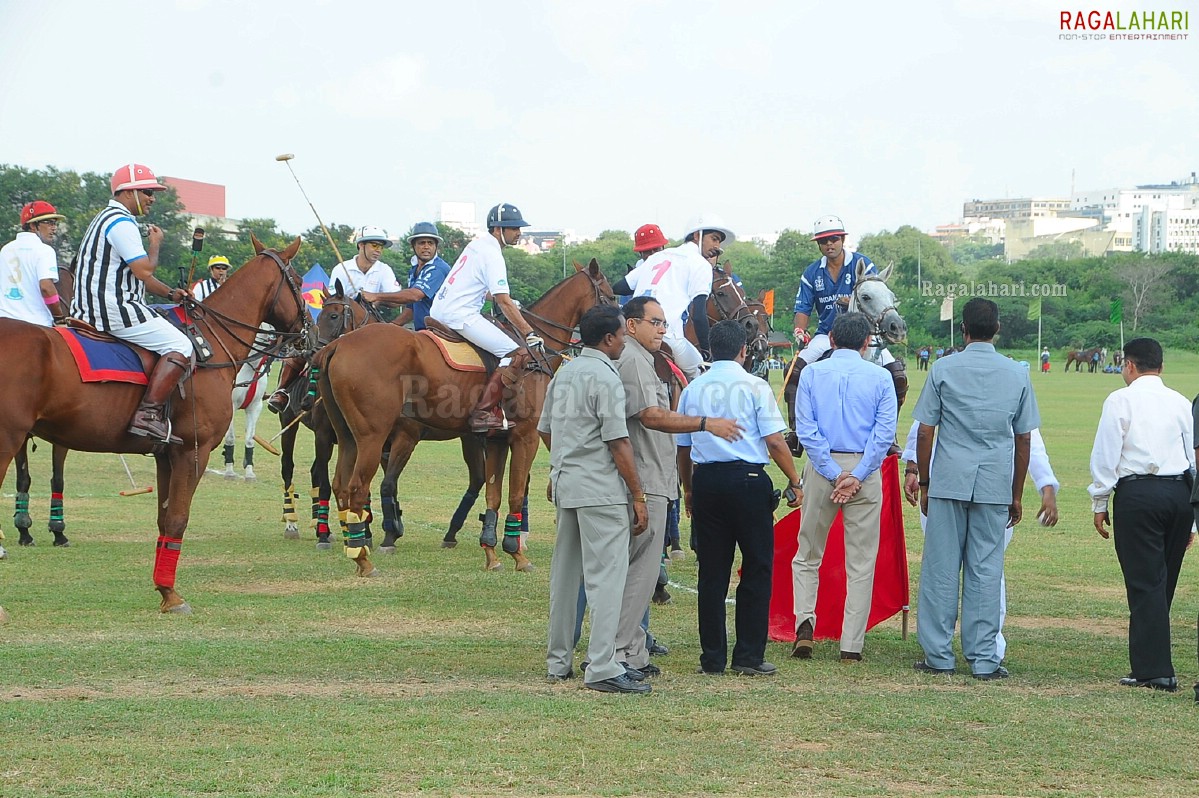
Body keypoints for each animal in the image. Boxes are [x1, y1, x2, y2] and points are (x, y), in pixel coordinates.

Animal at [0, 233, 314, 611]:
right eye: (298, 281)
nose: (308, 335)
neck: (212, 344)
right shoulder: (193, 451)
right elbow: (178, 519)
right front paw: (172, 594)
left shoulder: (166, 454)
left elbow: (164, 518)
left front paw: (163, 590)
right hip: (7, 437)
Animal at [318, 257, 613, 575]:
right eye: (610, 296)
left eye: (333, 316)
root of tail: (338, 345)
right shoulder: (525, 436)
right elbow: (514, 492)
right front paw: (517, 555)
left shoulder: (496, 438)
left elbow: (494, 494)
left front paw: (494, 554)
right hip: (372, 435)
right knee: (357, 487)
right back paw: (363, 558)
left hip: (349, 436)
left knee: (340, 484)